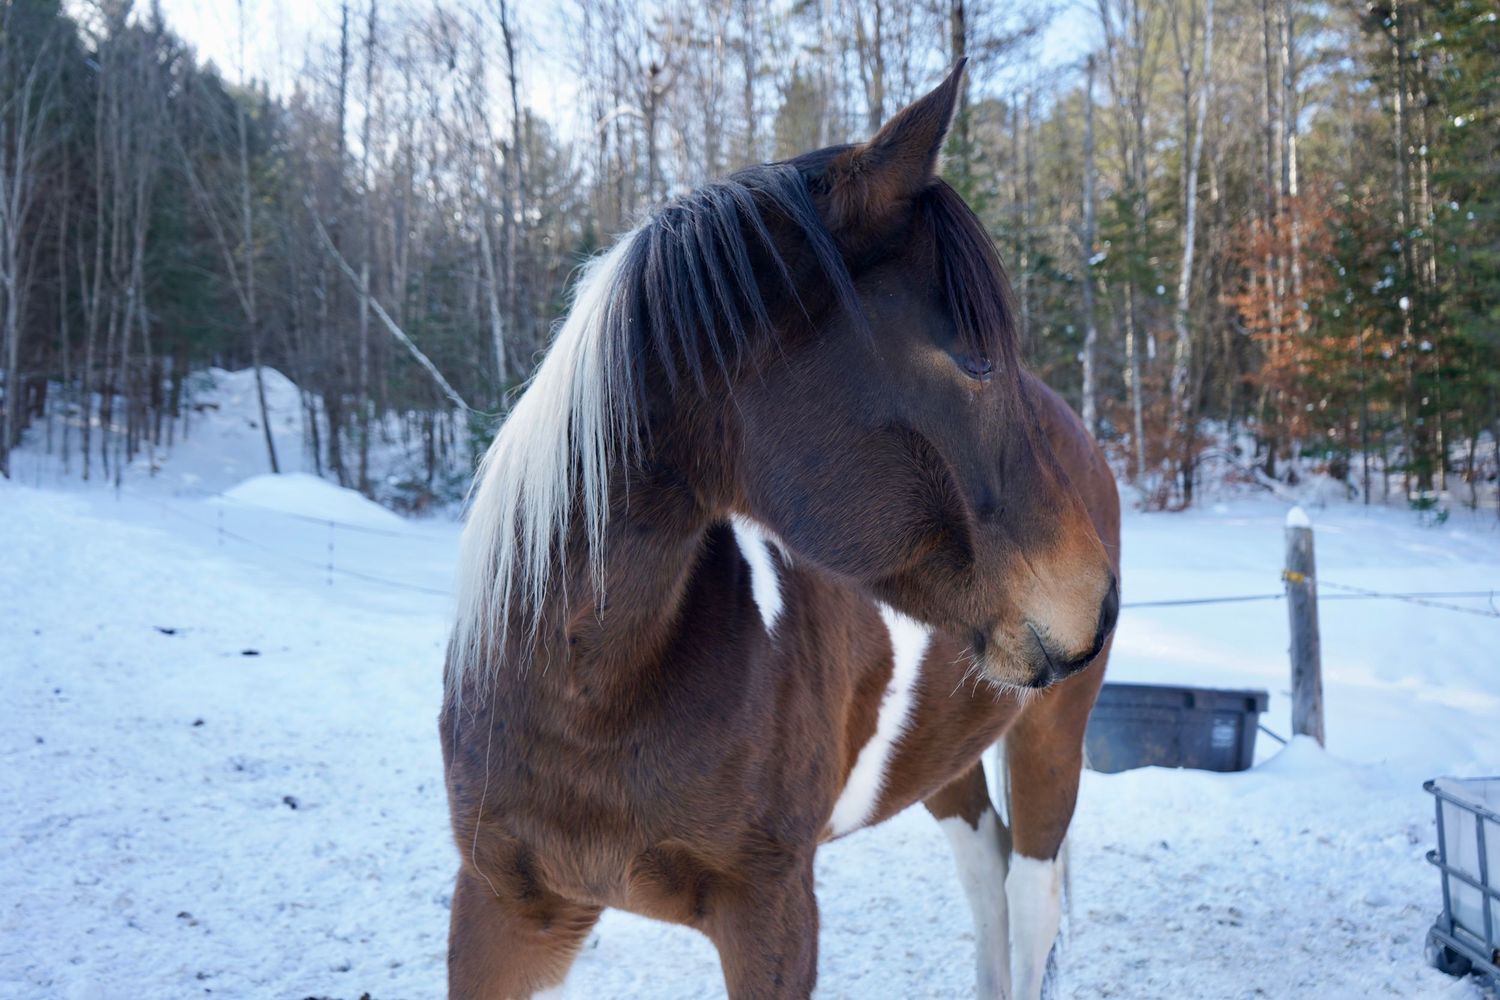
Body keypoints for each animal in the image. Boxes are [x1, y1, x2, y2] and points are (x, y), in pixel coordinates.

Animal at [442, 60, 1120, 1000]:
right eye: (973, 359)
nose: (1095, 594)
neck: (586, 693)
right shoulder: (500, 911)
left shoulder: (772, 917)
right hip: (942, 751)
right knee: (986, 862)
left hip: (1051, 735)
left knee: (1029, 896)